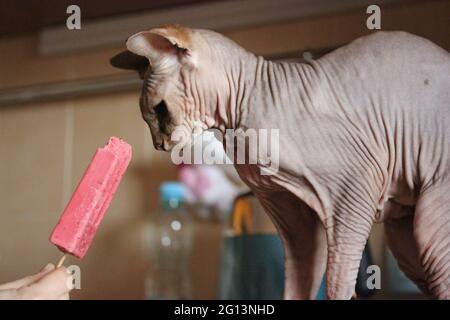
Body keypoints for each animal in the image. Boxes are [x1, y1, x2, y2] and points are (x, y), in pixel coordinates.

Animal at [111, 25, 450, 300]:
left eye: (161, 109)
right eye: (147, 119)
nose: (159, 145)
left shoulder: (353, 195)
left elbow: (339, 280)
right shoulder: (294, 217)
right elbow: (299, 282)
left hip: (427, 221)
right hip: (404, 238)